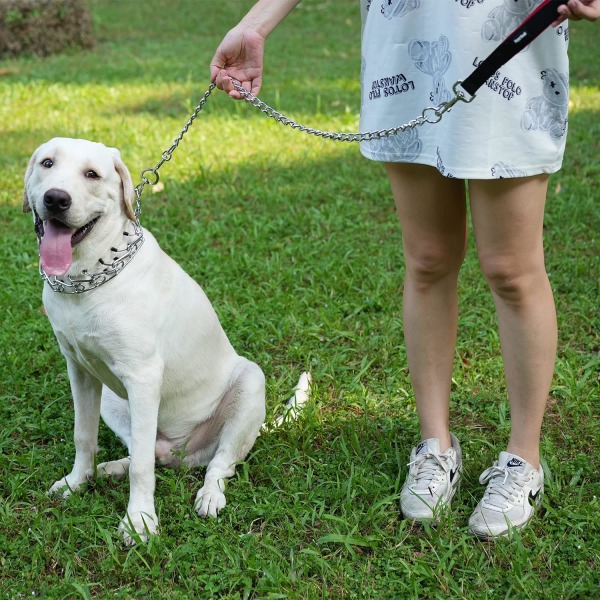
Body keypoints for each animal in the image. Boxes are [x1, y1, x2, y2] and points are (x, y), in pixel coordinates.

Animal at [22, 138, 272, 548]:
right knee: (149, 452)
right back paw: (108, 469)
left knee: (218, 464)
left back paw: (209, 495)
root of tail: (180, 452)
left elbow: (142, 467)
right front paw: (77, 482)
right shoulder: (80, 369)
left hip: (250, 383)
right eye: (47, 163)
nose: (56, 198)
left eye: (92, 174)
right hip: (114, 399)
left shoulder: (142, 377)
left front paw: (139, 522)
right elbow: (83, 435)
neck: (85, 279)